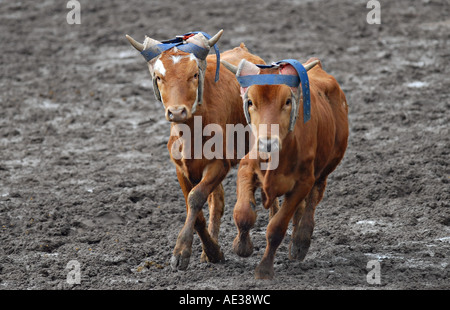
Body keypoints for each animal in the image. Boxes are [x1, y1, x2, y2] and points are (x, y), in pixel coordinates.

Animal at [125, 30, 268, 270]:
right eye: (159, 77)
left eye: (193, 75)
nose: (176, 112)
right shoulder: (181, 169)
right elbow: (197, 209)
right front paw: (211, 252)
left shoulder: (220, 164)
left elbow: (195, 198)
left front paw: (181, 251)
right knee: (217, 201)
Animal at [223, 57, 350, 280]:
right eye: (250, 102)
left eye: (288, 102)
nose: (267, 143)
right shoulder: (247, 167)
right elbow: (243, 214)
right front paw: (242, 246)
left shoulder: (302, 183)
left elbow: (276, 228)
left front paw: (264, 269)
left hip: (325, 170)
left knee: (312, 201)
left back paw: (300, 242)